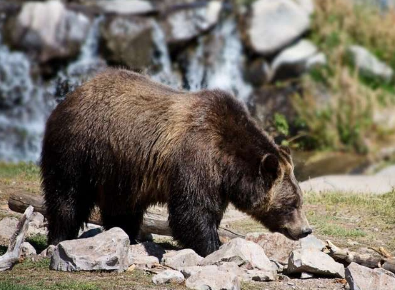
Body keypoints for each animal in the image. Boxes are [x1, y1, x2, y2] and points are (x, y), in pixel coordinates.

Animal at [41, 69, 312, 258]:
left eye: (300, 200)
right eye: (292, 203)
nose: (305, 230)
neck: (227, 162)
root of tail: (70, 96)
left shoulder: (217, 180)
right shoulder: (196, 157)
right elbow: (192, 211)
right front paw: (213, 246)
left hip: (119, 170)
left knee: (122, 208)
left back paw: (126, 236)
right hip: (80, 149)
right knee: (67, 195)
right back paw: (59, 237)